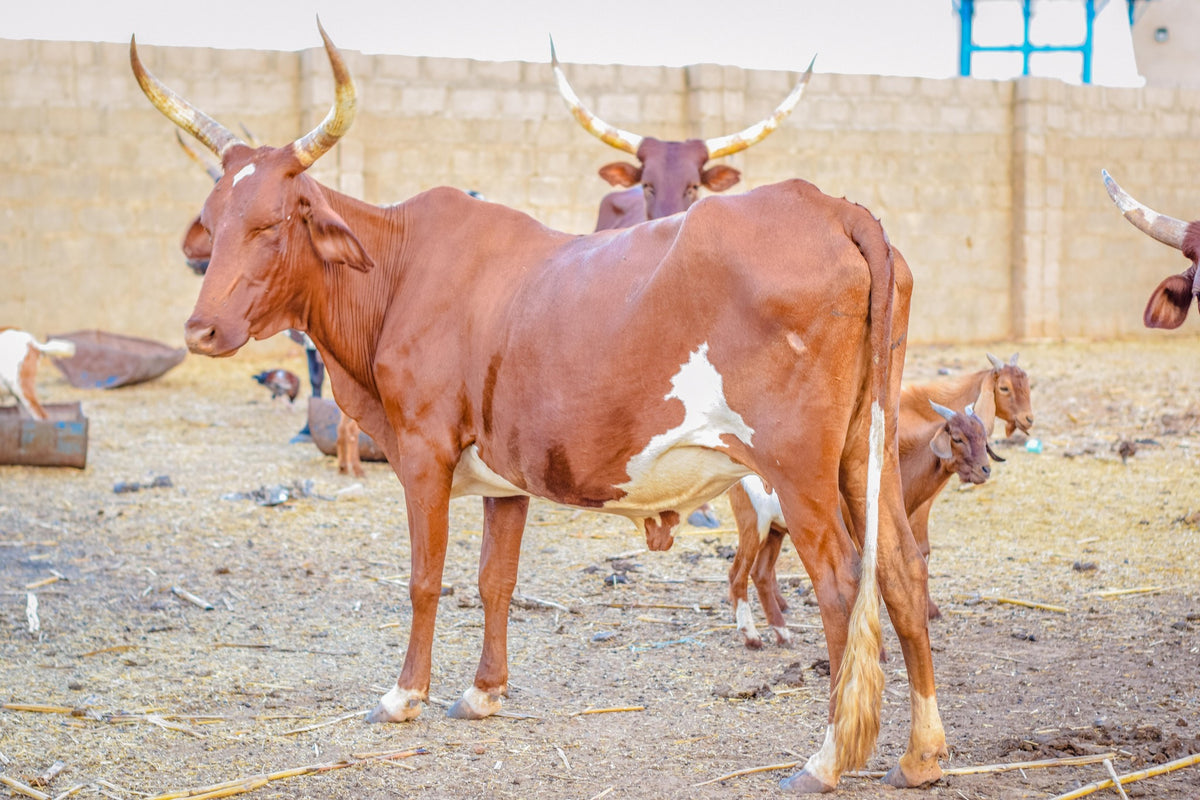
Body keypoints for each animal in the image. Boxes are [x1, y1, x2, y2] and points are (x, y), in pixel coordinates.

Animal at [728, 401, 996, 650]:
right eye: (957, 438)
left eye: (984, 438)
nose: (985, 470)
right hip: (753, 524)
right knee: (738, 573)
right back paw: (752, 636)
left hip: (774, 531)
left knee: (761, 573)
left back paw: (782, 634)